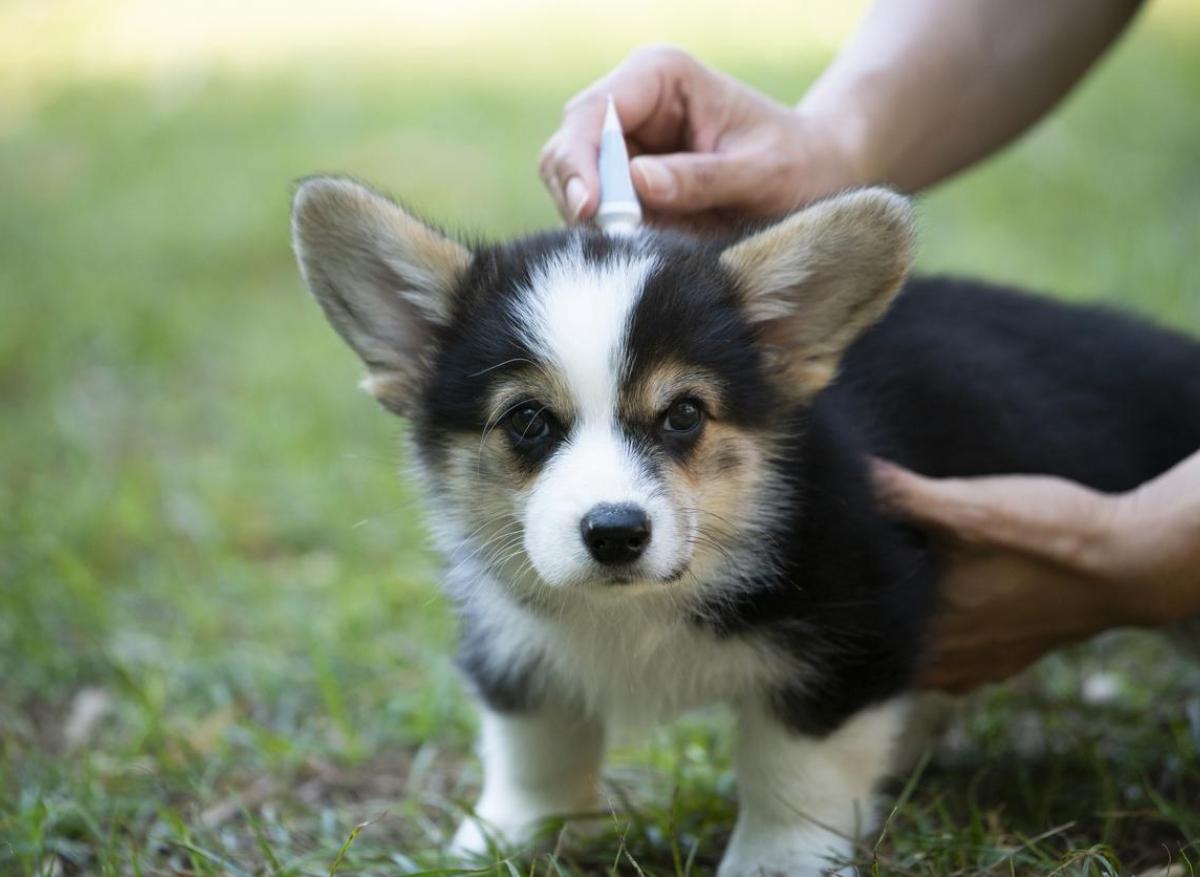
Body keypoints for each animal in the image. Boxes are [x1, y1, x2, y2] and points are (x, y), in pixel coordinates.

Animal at [290, 175, 1200, 873]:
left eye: (685, 414)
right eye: (527, 422)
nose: (614, 533)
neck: (643, 606)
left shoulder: (855, 630)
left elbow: (794, 771)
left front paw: (777, 860)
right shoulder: (513, 640)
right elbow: (533, 748)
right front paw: (506, 838)